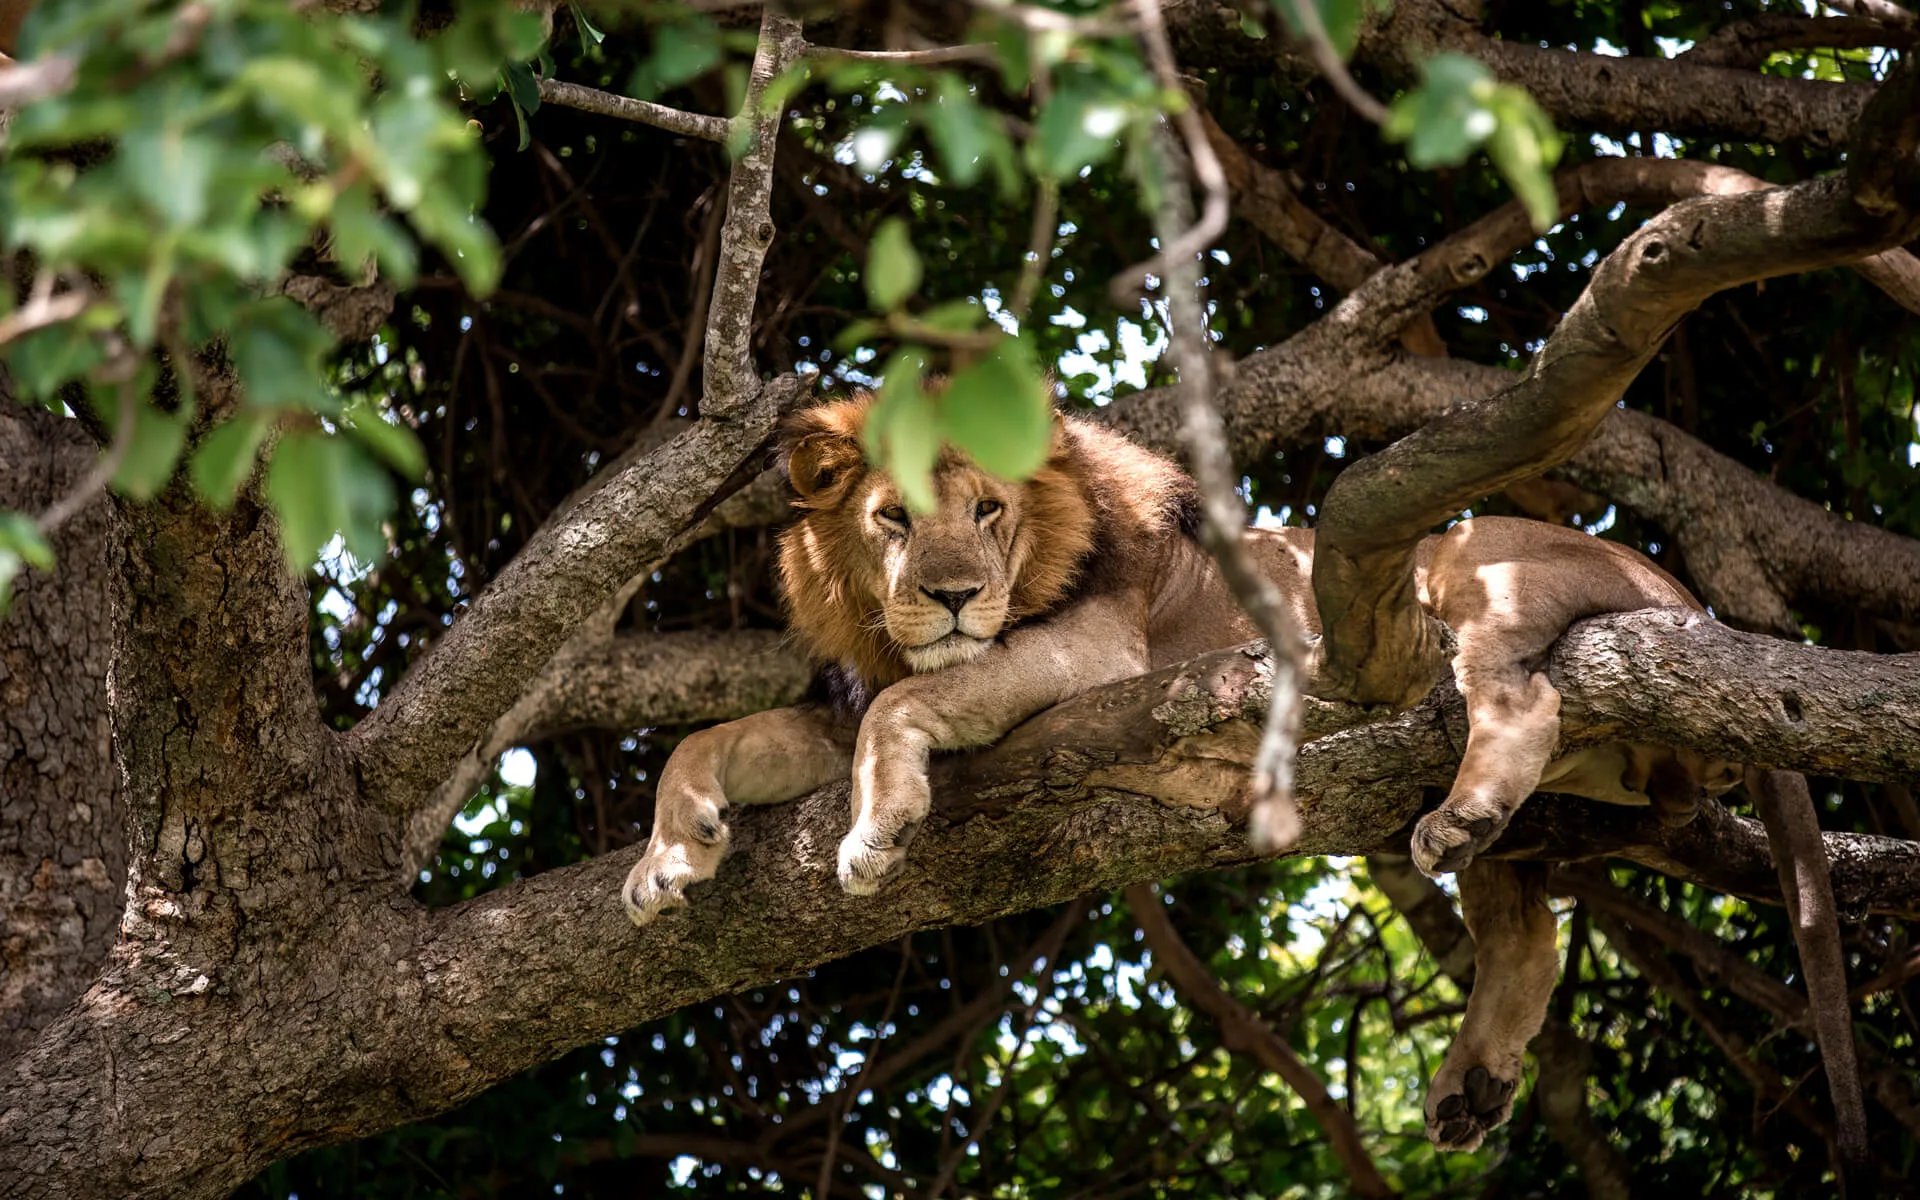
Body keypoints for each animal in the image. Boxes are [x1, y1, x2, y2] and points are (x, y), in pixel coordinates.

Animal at [621, 392, 1740, 1150]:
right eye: (892, 518)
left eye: (986, 512)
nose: (953, 597)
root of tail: (1688, 594)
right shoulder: (839, 698)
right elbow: (704, 741)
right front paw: (669, 856)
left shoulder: (1094, 650)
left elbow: (898, 715)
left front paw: (876, 827)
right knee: (1527, 934)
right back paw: (1472, 1079)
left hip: (1466, 561)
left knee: (1519, 697)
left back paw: (1465, 814)